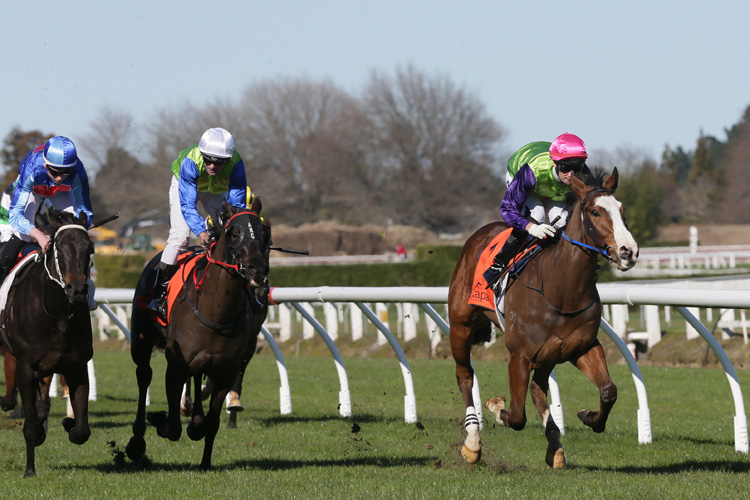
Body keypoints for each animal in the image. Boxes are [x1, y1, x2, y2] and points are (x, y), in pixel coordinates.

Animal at [0, 209, 94, 478]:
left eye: (89, 247)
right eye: (58, 247)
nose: (77, 289)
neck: (56, 314)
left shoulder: (76, 365)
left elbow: (81, 431)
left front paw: (69, 422)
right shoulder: (26, 365)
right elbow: (31, 423)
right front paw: (29, 469)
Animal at [126, 198, 270, 468]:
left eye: (265, 231)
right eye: (234, 232)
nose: (258, 269)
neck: (216, 312)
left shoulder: (226, 369)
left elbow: (212, 422)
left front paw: (205, 460)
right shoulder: (176, 364)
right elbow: (172, 426)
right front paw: (159, 418)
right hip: (141, 342)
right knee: (143, 376)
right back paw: (137, 441)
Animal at [452, 169, 640, 468]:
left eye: (621, 210)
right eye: (595, 211)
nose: (628, 251)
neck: (561, 291)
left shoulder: (582, 347)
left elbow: (609, 391)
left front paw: (589, 417)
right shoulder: (519, 355)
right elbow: (516, 416)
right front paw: (496, 406)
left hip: (548, 355)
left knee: (537, 389)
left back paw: (555, 444)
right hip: (460, 325)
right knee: (464, 375)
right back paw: (472, 441)